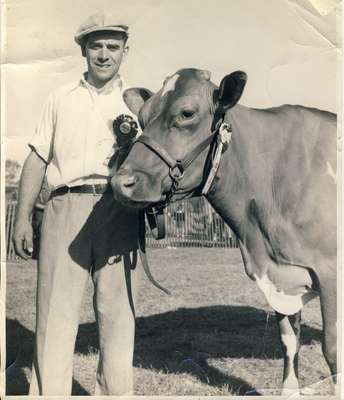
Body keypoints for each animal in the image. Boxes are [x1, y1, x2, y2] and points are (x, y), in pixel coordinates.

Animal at [111, 67, 338, 396]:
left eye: (187, 113)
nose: (120, 182)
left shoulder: (331, 272)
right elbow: (288, 341)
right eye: (141, 117)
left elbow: (332, 349)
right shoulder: (280, 276)